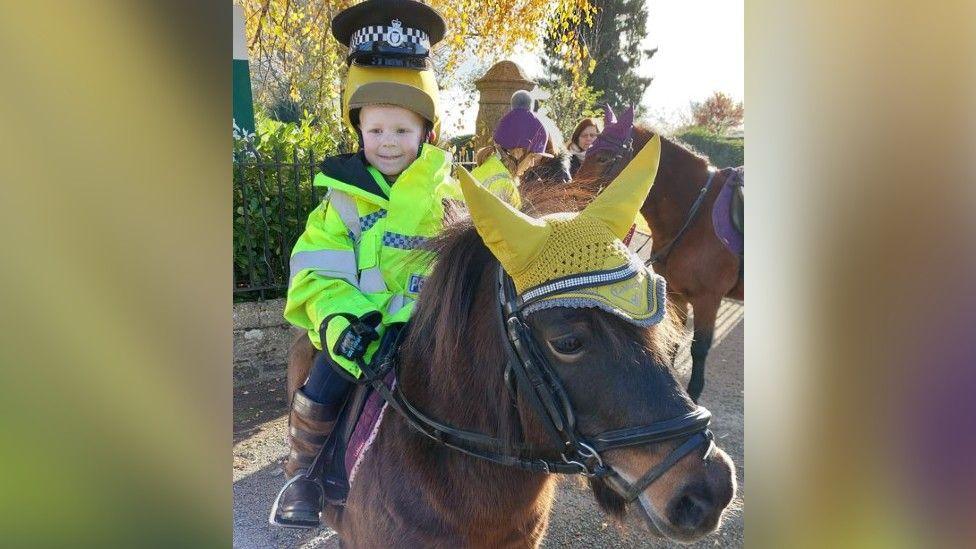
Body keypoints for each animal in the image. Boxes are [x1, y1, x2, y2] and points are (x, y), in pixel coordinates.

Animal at [552, 122, 744, 400]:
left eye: (604, 157)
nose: (570, 200)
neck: (697, 216)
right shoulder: (676, 293)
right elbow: (673, 337)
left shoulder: (708, 299)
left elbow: (698, 348)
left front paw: (693, 393)